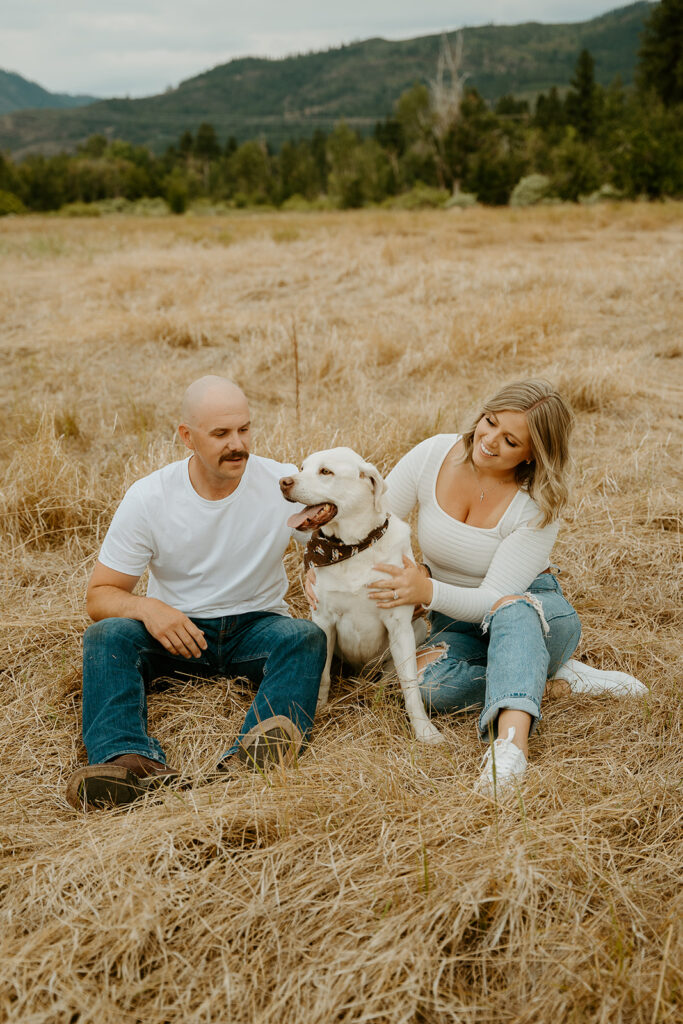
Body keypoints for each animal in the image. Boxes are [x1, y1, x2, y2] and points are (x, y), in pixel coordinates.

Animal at [278, 448, 444, 745]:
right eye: (302, 468)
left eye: (326, 471)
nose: (283, 482)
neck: (352, 547)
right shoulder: (324, 620)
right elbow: (322, 675)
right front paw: (319, 707)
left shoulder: (399, 625)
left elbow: (411, 686)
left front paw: (424, 730)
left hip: (416, 630)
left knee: (389, 675)